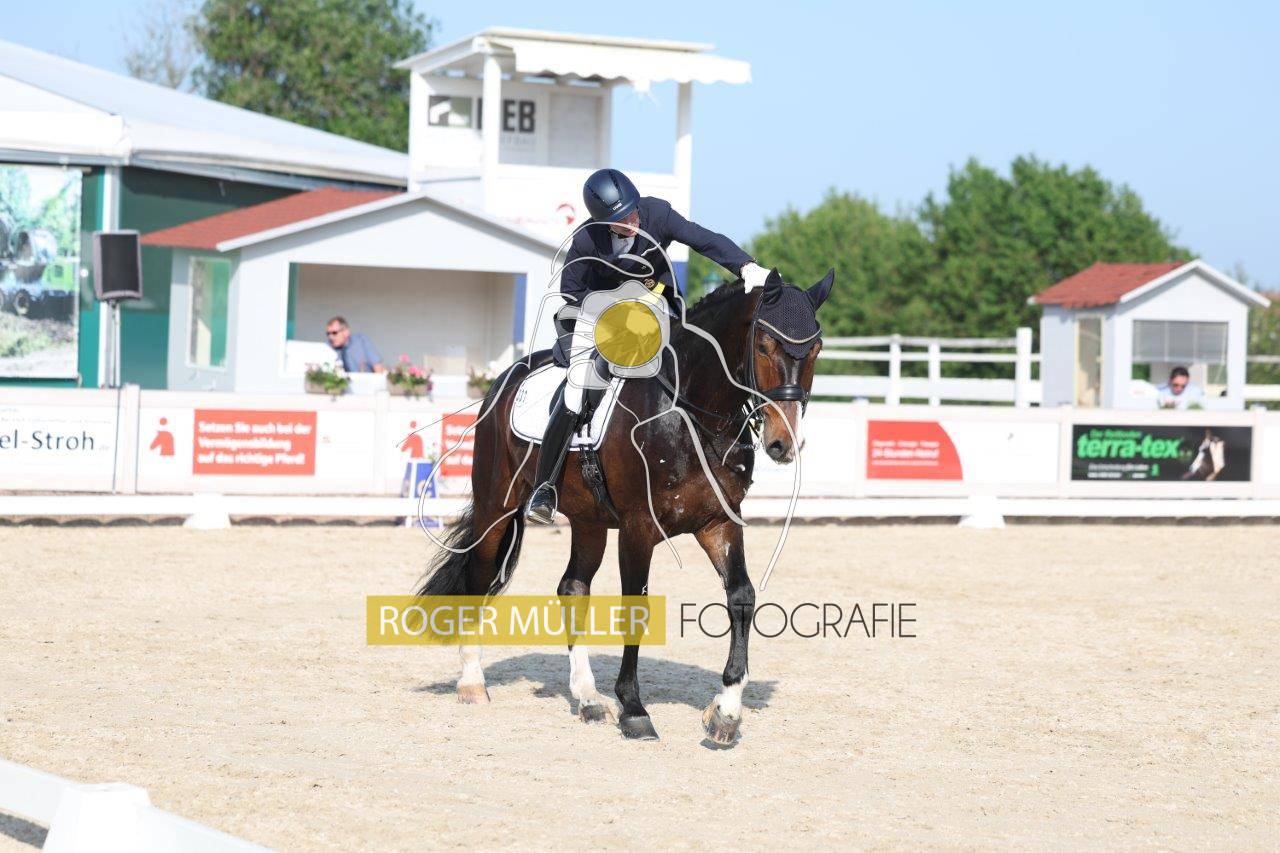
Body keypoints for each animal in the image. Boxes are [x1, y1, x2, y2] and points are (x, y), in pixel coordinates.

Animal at [415, 269, 835, 745]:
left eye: (817, 348)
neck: (689, 414)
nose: (783, 444)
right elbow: (636, 607)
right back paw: (472, 681)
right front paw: (634, 709)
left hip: (589, 521)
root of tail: (505, 379)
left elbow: (742, 596)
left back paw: (587, 698)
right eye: (763, 344)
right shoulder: (639, 527)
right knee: (481, 575)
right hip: (497, 508)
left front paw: (726, 712)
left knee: (572, 587)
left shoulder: (718, 522)